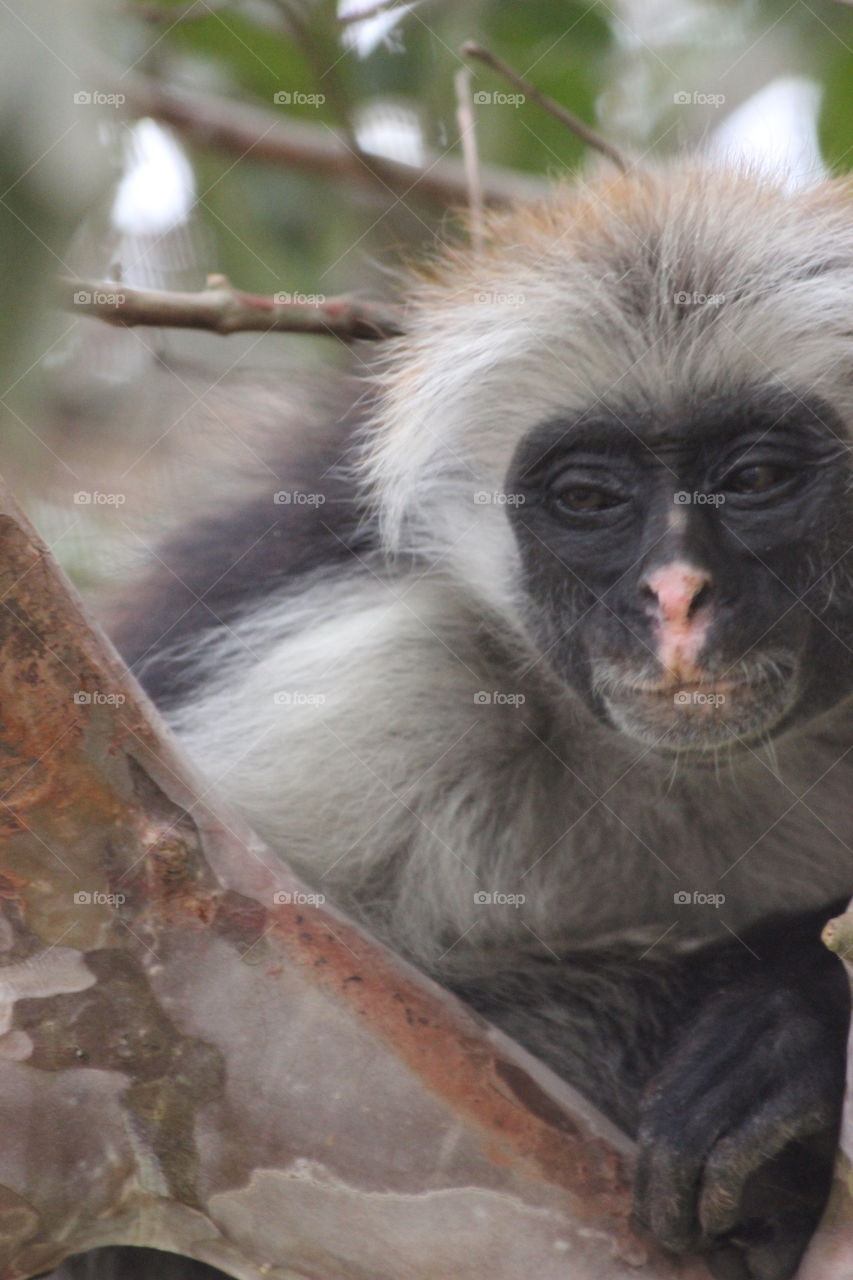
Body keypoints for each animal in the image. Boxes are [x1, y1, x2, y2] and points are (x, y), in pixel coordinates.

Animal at [76, 161, 853, 1280]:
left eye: (752, 479)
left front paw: (792, 1028)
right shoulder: (375, 682)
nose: (674, 598)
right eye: (588, 498)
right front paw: (789, 1026)